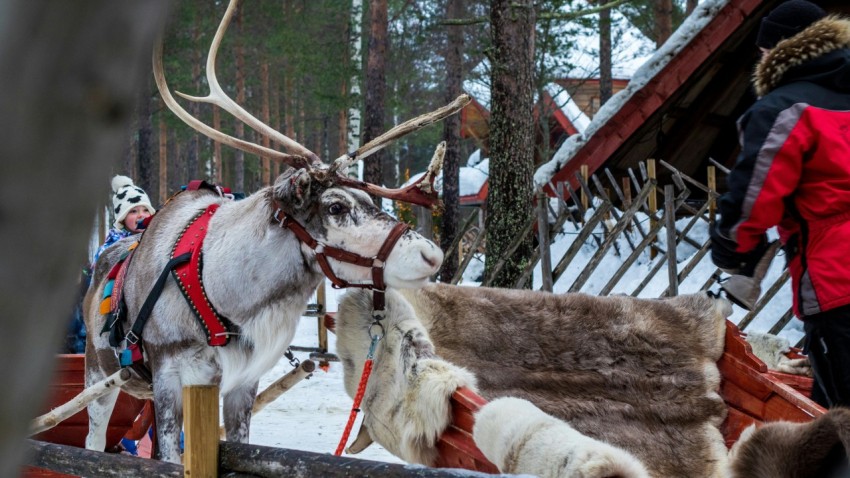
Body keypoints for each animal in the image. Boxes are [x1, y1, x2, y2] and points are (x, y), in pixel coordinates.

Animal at [83, 0, 466, 463]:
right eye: (335, 206)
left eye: (369, 198)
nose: (432, 254)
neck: (226, 294)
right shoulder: (169, 376)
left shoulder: (241, 382)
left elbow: (236, 444)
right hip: (98, 374)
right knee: (94, 439)